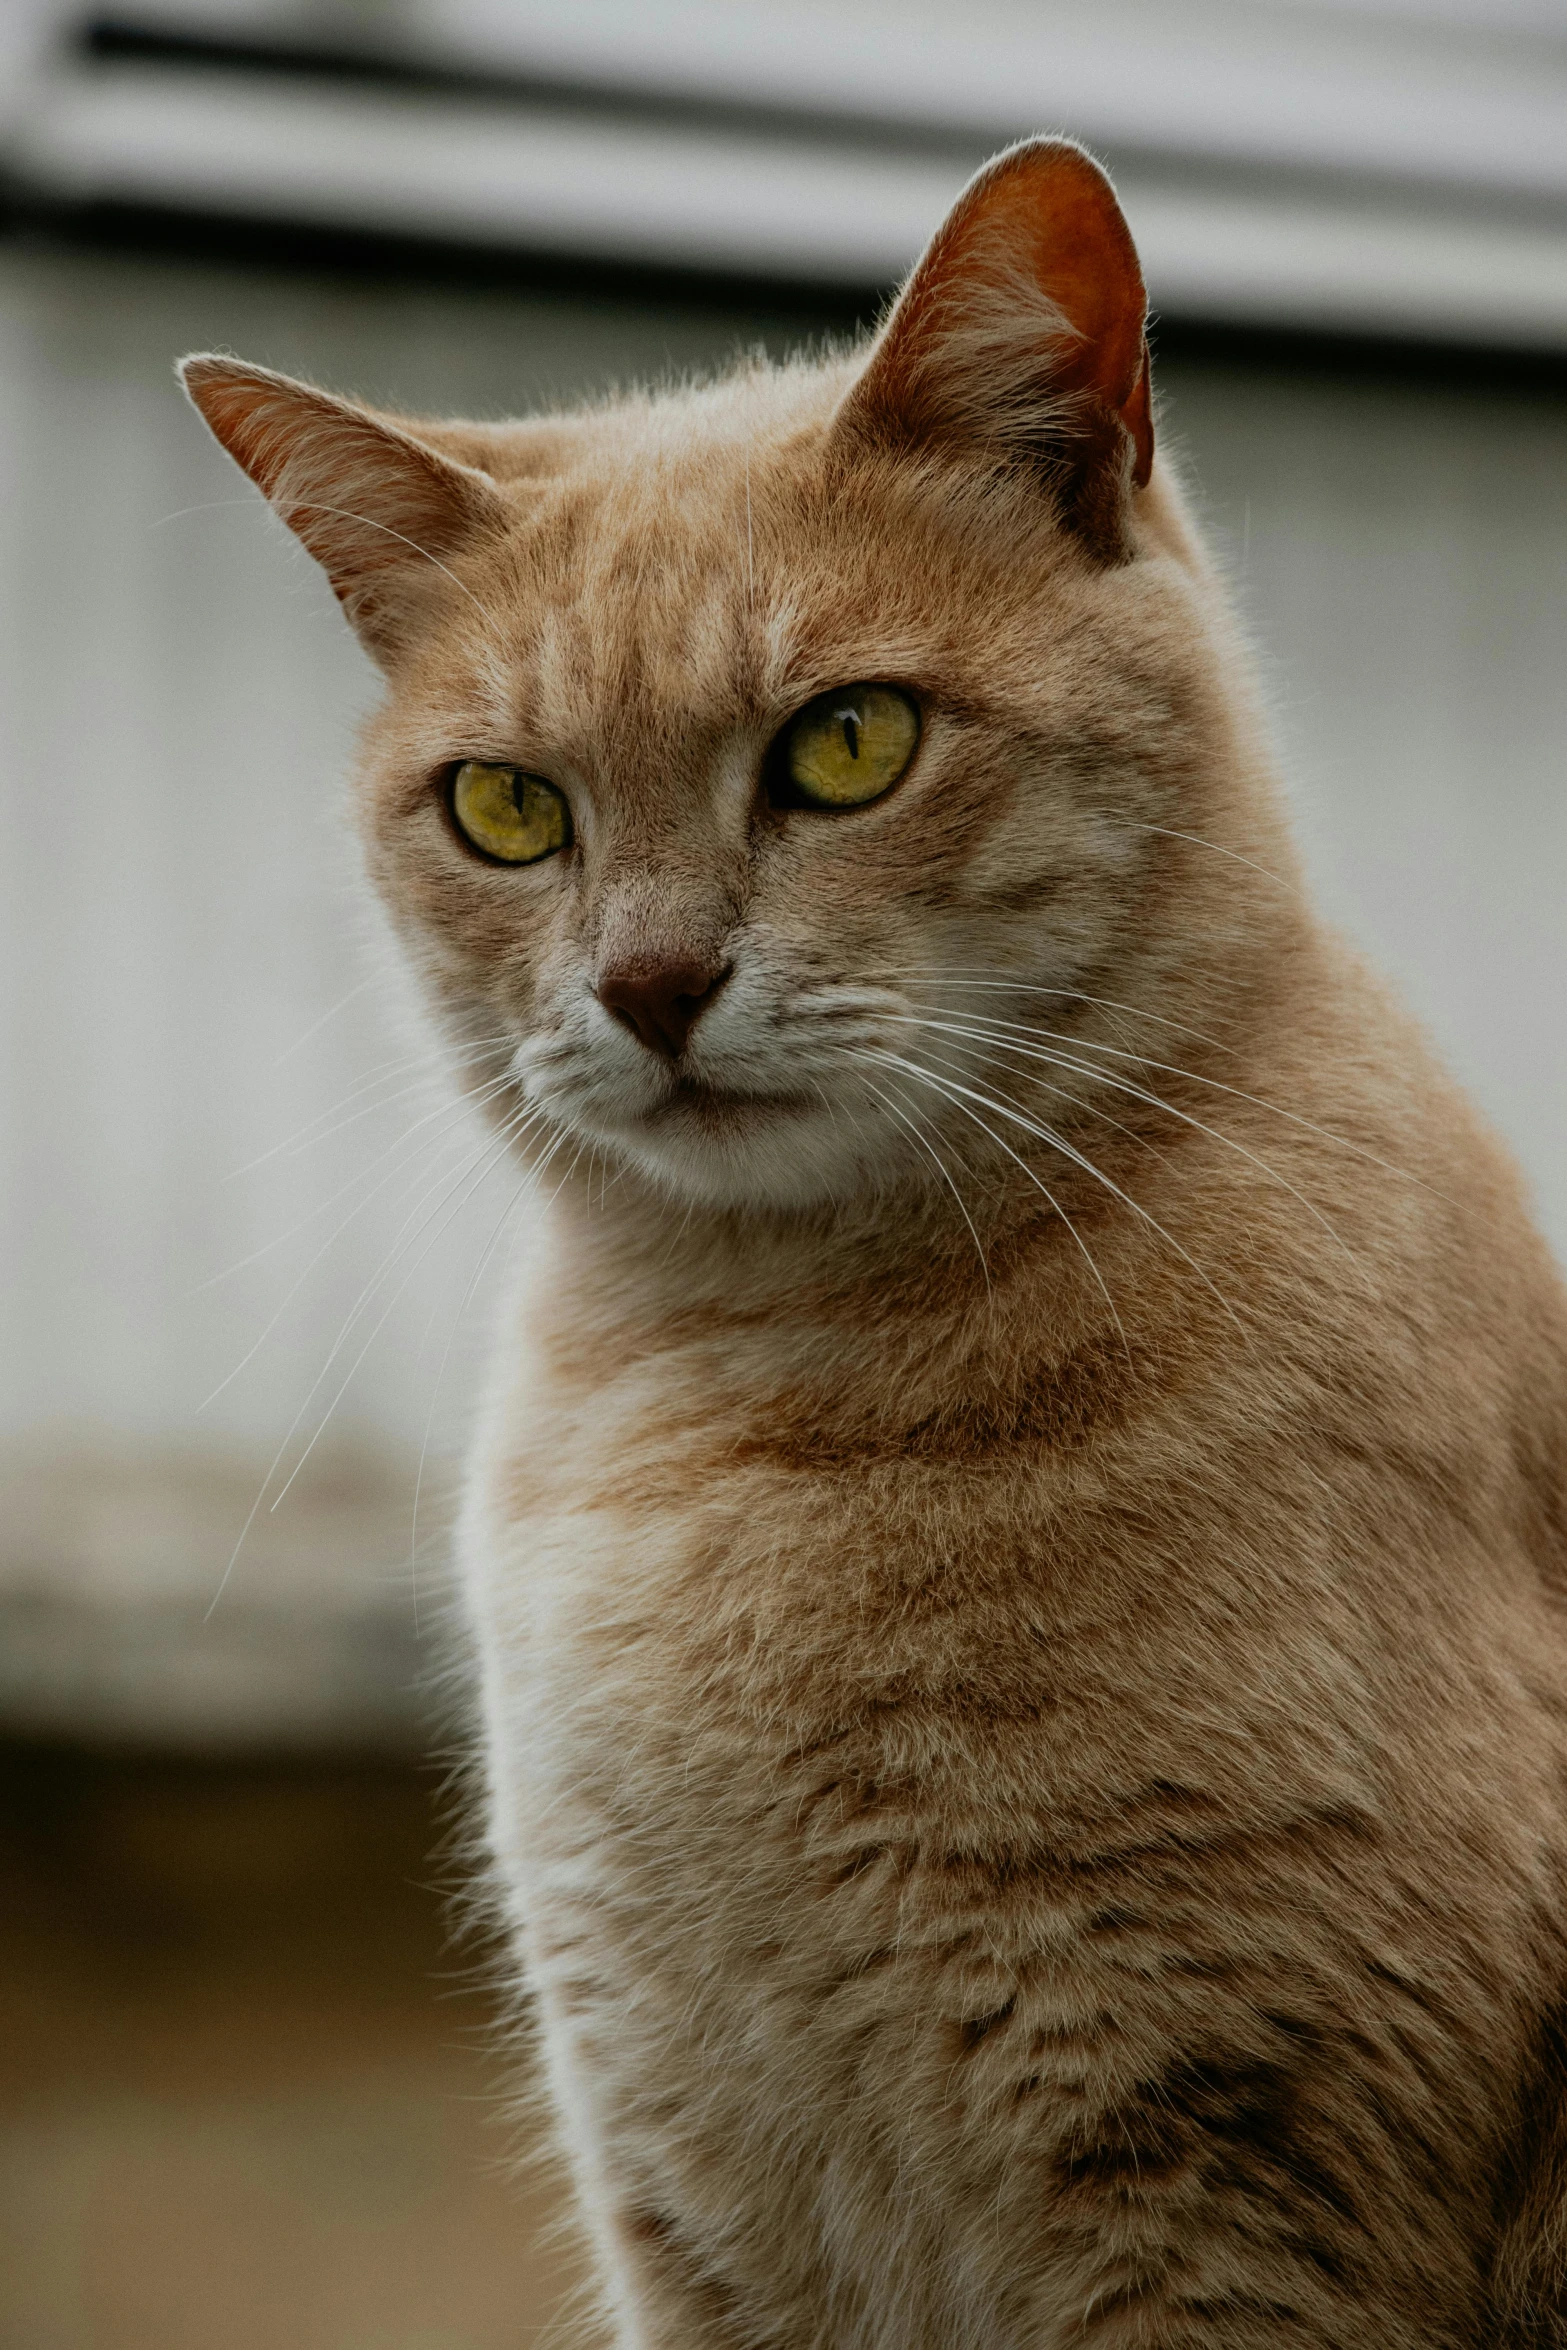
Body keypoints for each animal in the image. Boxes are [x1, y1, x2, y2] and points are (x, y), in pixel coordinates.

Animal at [190, 142, 1567, 2350]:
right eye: (506, 810)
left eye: (844, 743)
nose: (651, 982)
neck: (749, 1366)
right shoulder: (696, 2191)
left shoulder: (1224, 2180)